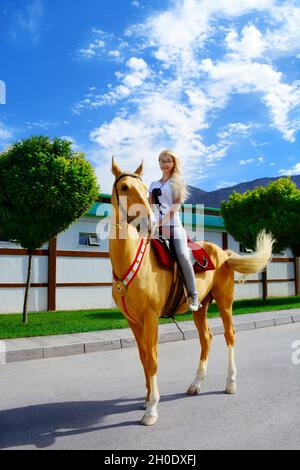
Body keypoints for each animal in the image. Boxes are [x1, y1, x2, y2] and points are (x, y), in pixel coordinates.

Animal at [109, 159, 274, 426]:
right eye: (124, 187)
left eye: (144, 189)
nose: (148, 224)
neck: (130, 259)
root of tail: (224, 253)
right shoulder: (133, 321)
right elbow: (144, 359)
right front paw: (146, 399)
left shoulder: (150, 317)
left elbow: (153, 361)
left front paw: (151, 410)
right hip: (201, 309)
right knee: (206, 338)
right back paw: (196, 384)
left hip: (225, 304)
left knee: (229, 336)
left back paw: (230, 383)